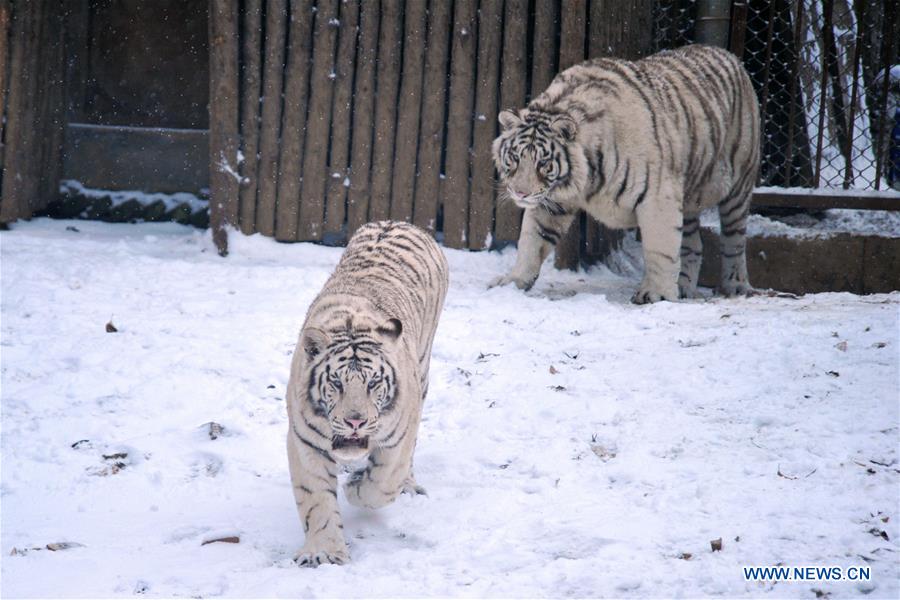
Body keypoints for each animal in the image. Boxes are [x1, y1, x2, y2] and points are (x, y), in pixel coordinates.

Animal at [286, 220, 448, 568]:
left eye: (373, 383)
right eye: (336, 383)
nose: (355, 423)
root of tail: (398, 221)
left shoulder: (398, 436)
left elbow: (382, 483)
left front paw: (355, 489)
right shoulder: (305, 441)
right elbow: (316, 499)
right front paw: (323, 552)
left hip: (423, 370)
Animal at [492, 44, 760, 302]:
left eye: (544, 163)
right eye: (515, 158)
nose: (521, 193)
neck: (586, 178)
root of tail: (732, 56)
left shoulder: (658, 198)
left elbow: (660, 249)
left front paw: (656, 294)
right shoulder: (553, 200)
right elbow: (531, 240)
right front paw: (513, 282)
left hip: (739, 184)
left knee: (735, 240)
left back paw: (734, 286)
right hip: (689, 197)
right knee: (693, 244)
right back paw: (684, 288)